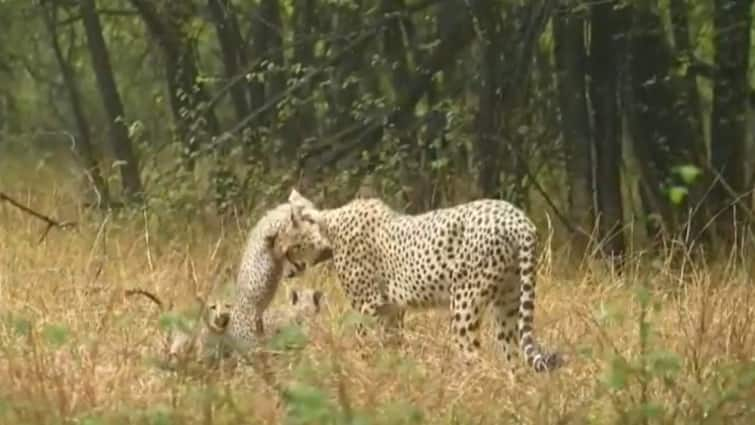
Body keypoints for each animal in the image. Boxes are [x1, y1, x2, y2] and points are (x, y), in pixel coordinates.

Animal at [278, 189, 560, 372]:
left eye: (289, 248)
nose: (285, 272)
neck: (330, 227)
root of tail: (517, 218)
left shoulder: (367, 306)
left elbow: (362, 342)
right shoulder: (391, 309)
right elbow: (391, 345)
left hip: (465, 305)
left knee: (473, 357)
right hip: (508, 305)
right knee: (513, 360)